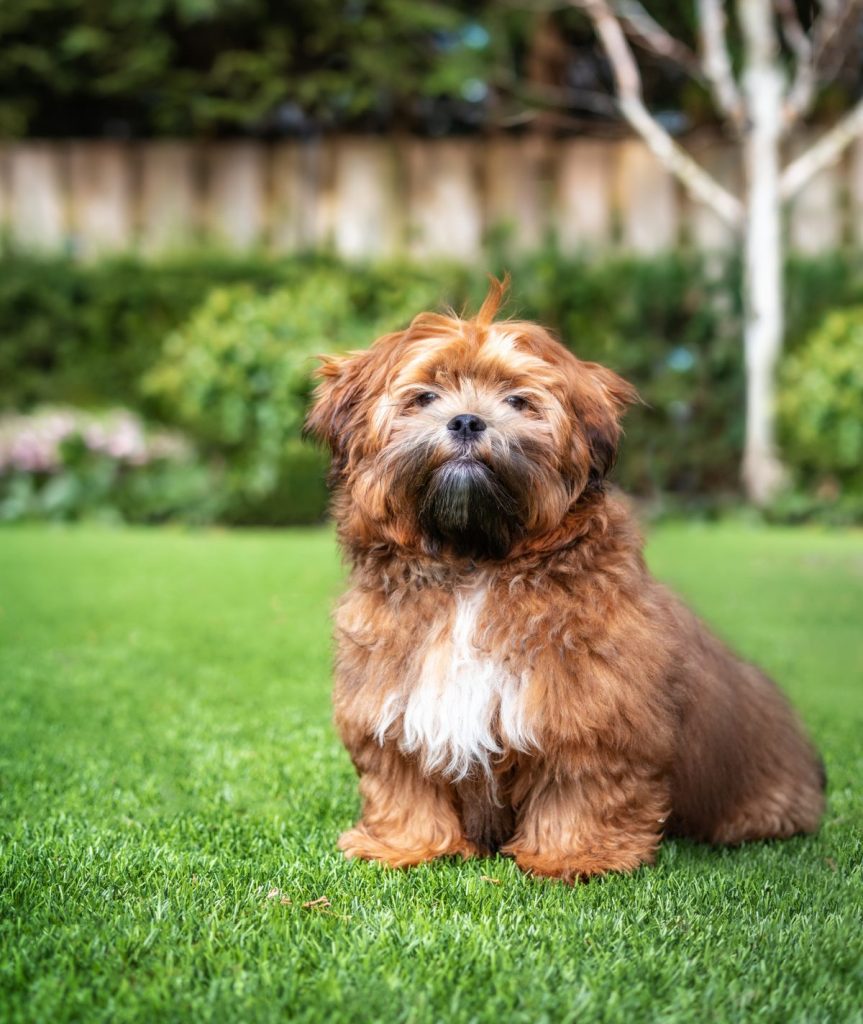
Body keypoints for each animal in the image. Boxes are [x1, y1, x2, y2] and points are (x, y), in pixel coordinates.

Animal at [307, 278, 827, 880]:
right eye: (426, 397)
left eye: (516, 400)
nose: (467, 421)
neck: (473, 566)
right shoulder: (391, 700)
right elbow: (403, 780)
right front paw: (405, 845)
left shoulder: (594, 708)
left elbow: (581, 784)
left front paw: (572, 855)